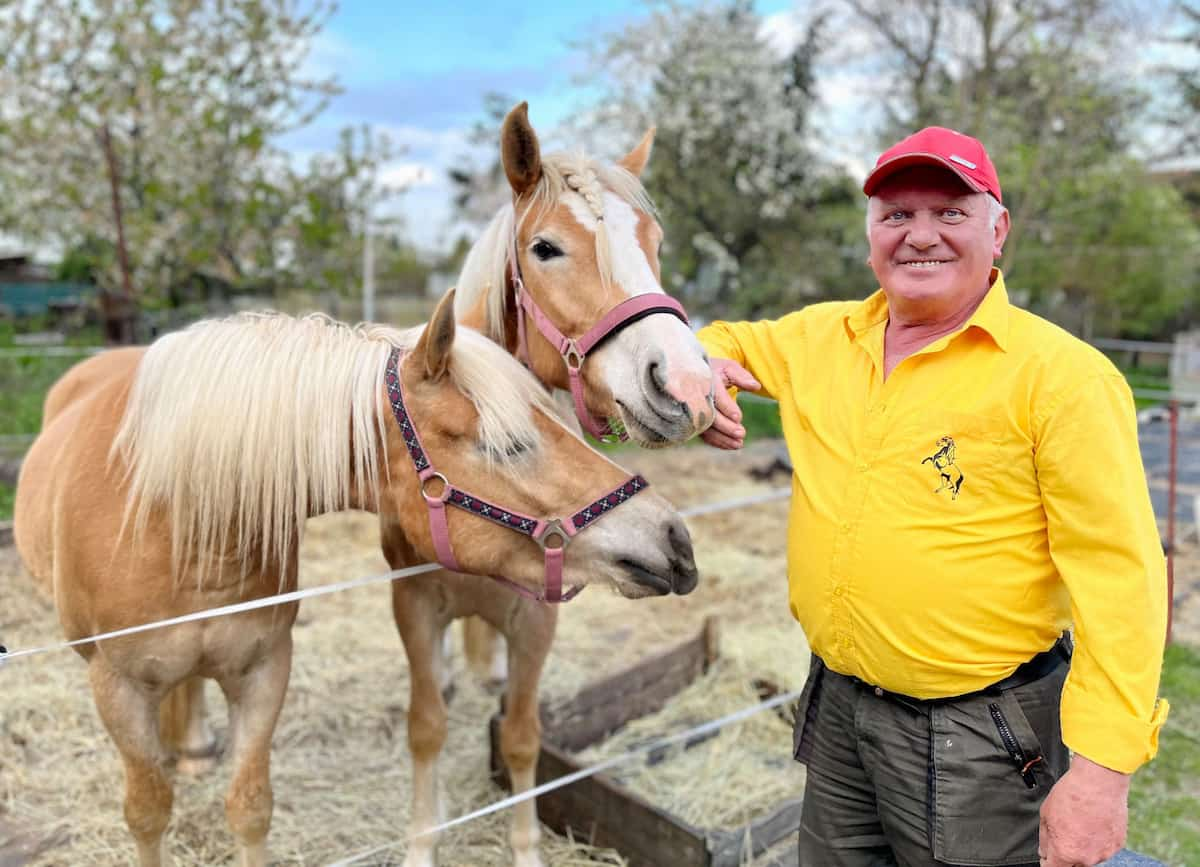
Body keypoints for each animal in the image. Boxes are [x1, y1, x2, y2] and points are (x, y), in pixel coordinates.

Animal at [9, 291, 700, 864]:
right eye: (508, 445)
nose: (675, 539)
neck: (172, 519)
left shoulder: (264, 670)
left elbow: (250, 807)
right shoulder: (117, 690)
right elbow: (148, 813)